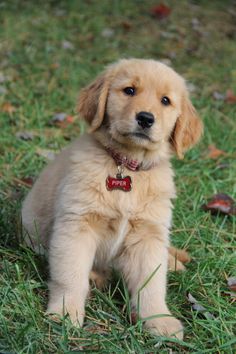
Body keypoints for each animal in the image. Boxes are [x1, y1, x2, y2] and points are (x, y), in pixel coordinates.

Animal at [22, 58, 202, 340]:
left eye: (165, 100)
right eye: (129, 90)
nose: (145, 118)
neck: (127, 166)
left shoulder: (148, 236)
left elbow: (152, 284)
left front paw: (159, 320)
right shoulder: (77, 226)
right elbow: (70, 275)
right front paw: (65, 313)